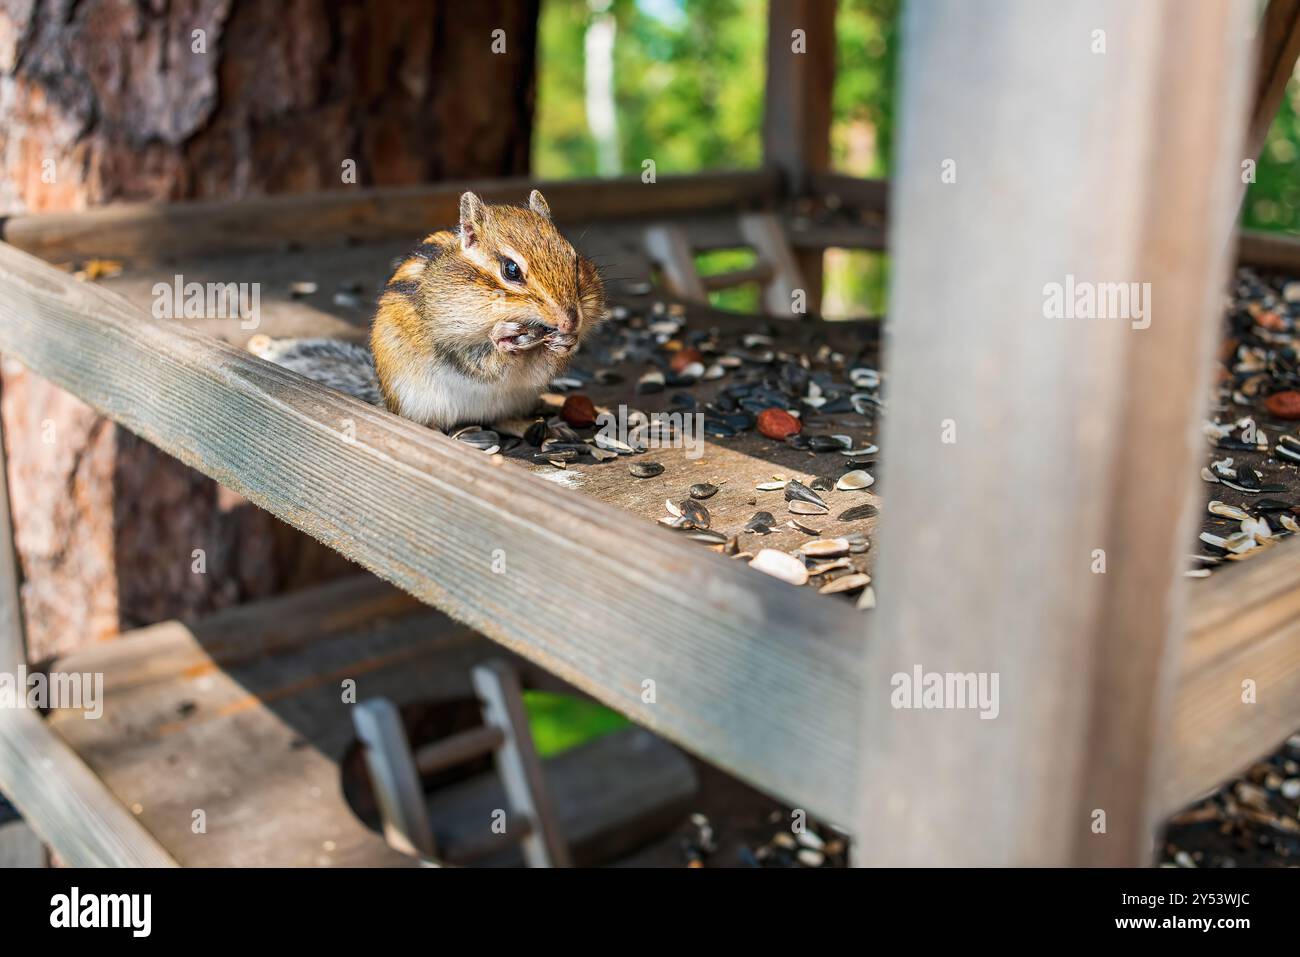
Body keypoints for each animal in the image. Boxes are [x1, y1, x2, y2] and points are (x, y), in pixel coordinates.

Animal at [249, 190, 605, 430]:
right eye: (511, 270)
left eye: (575, 260)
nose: (569, 321)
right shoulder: (443, 334)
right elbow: (475, 360)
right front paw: (502, 339)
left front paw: (566, 343)